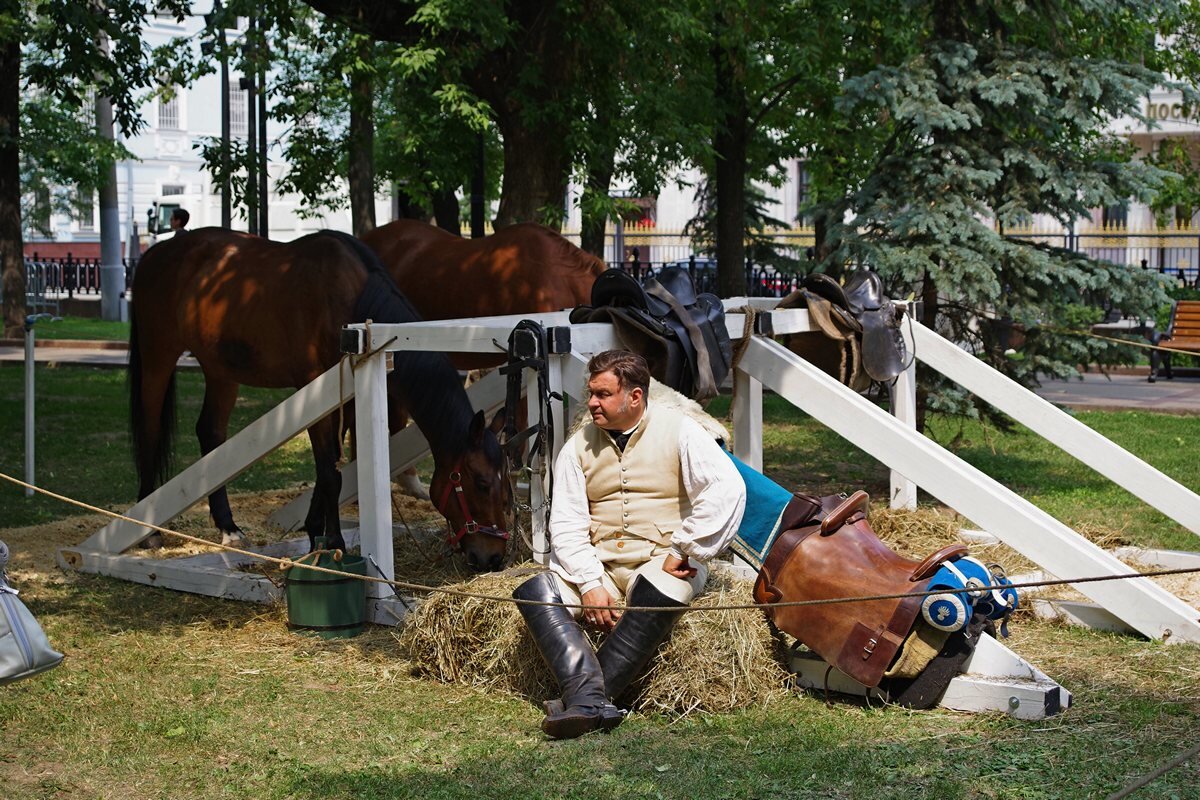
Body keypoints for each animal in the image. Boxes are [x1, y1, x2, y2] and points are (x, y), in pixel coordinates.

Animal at [130, 227, 511, 573]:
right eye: (481, 483)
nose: (493, 557)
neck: (349, 299)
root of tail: (155, 253)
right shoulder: (314, 391)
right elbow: (330, 474)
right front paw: (334, 543)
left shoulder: (345, 398)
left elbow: (331, 468)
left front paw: (316, 533)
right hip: (158, 355)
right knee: (148, 429)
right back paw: (147, 531)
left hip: (220, 369)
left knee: (210, 433)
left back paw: (228, 527)